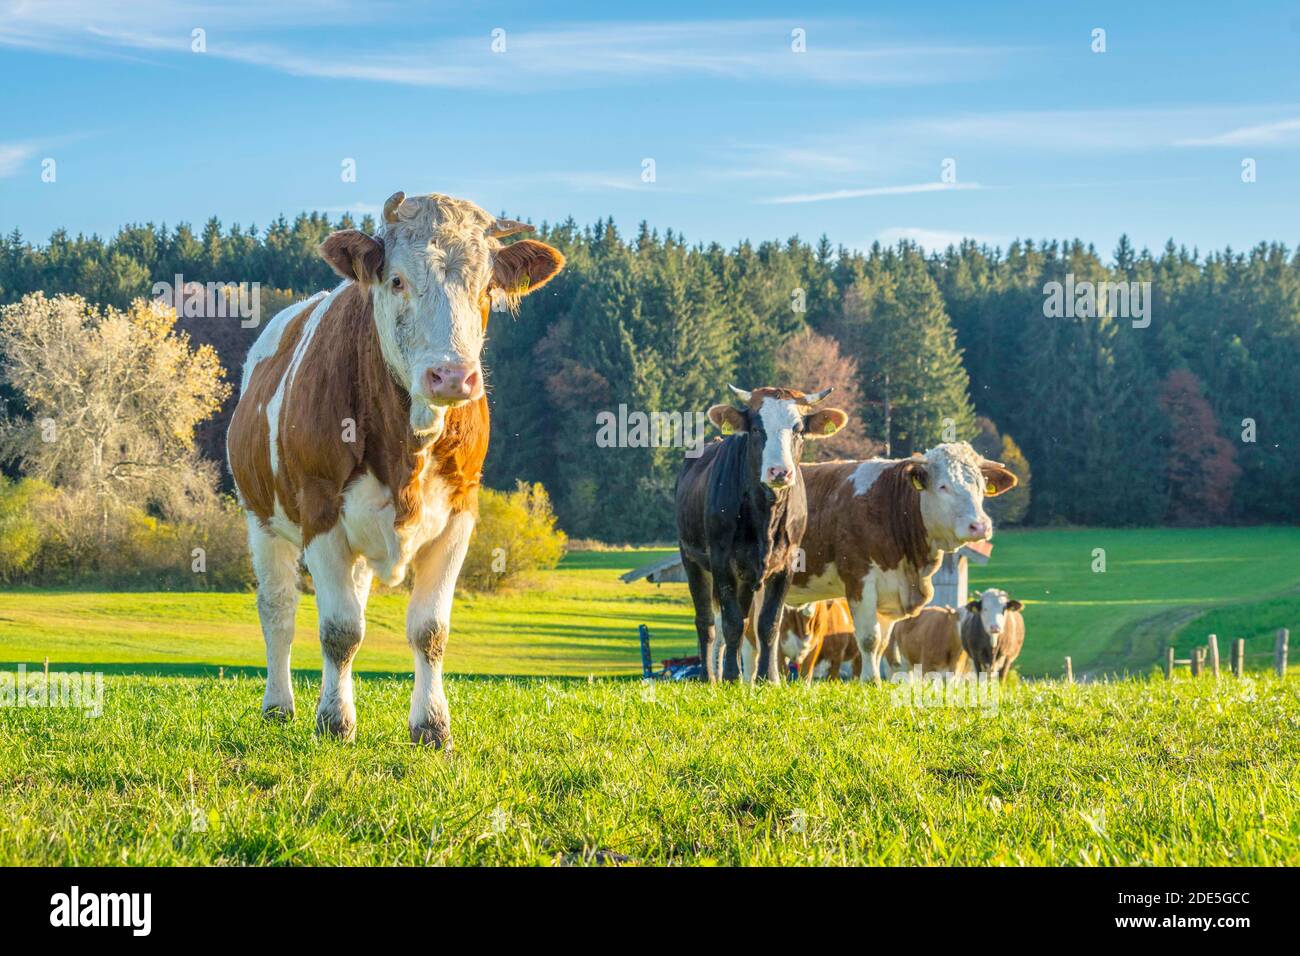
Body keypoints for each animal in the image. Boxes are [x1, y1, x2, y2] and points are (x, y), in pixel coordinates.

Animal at [227, 191, 564, 746]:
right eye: (398, 280)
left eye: (486, 287)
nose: (452, 375)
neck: (408, 446)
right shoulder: (320, 509)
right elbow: (339, 630)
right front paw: (334, 722)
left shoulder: (460, 513)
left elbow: (429, 630)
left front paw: (431, 725)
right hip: (262, 519)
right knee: (278, 611)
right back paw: (279, 706)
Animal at [675, 386, 848, 683]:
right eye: (756, 429)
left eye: (799, 430)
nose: (779, 471)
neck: (766, 513)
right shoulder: (722, 561)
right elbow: (731, 622)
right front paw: (732, 677)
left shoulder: (787, 563)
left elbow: (768, 623)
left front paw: (768, 678)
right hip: (692, 559)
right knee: (707, 622)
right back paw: (710, 676)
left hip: (746, 576)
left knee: (746, 619)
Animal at [783, 443, 1018, 684]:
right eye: (943, 486)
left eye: (981, 487)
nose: (980, 526)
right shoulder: (859, 580)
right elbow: (869, 638)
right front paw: (871, 680)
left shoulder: (890, 597)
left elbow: (882, 644)